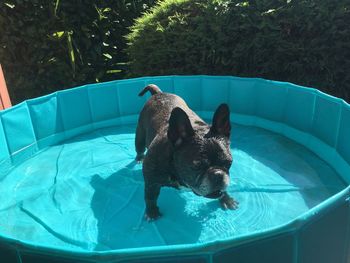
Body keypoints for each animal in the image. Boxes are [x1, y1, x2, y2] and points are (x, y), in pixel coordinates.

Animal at [135, 84, 238, 221]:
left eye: (228, 163)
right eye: (197, 165)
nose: (218, 175)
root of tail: (158, 93)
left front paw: (226, 199)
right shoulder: (151, 180)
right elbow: (150, 196)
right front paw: (152, 212)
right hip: (140, 135)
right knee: (139, 148)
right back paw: (139, 158)